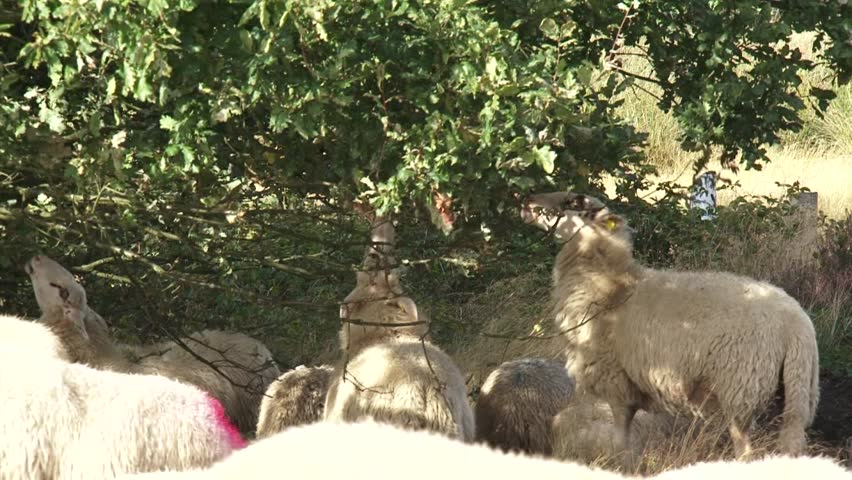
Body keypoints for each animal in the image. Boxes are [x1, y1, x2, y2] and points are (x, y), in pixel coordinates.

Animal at [520, 191, 820, 461]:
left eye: (573, 201)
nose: (526, 201)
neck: (610, 287)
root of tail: (797, 325)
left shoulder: (617, 384)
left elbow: (621, 443)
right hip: (796, 392)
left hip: (741, 390)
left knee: (746, 452)